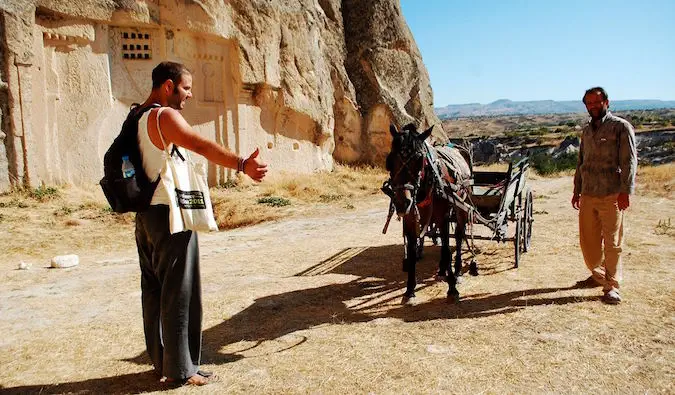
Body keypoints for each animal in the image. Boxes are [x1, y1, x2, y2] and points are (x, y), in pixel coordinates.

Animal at [382, 124, 472, 304]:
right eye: (390, 160)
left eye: (419, 160)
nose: (401, 203)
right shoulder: (410, 218)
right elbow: (411, 250)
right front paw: (409, 291)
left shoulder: (443, 217)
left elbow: (446, 248)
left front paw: (452, 289)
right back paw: (442, 269)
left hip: (461, 206)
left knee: (459, 236)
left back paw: (457, 271)